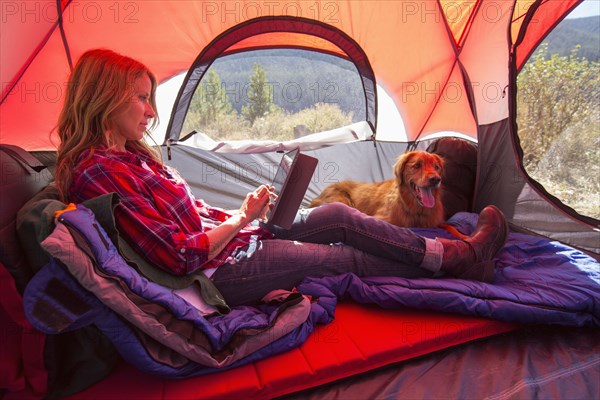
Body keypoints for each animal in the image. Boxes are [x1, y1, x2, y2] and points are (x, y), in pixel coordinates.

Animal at [310, 152, 446, 228]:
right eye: (417, 165)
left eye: (436, 167)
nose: (436, 179)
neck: (416, 212)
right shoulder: (382, 219)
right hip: (341, 201)